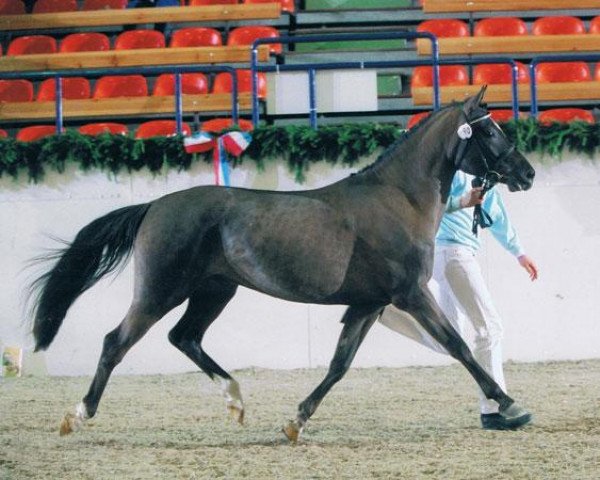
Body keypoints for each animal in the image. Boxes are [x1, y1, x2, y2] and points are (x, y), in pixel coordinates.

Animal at [29, 88, 536, 440]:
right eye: (490, 131)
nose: (527, 173)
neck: (398, 199)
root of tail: (155, 205)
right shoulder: (411, 295)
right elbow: (458, 346)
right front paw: (509, 404)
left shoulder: (369, 305)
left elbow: (339, 365)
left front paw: (296, 421)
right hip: (160, 290)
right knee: (117, 342)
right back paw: (77, 415)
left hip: (214, 290)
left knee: (184, 337)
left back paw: (235, 401)